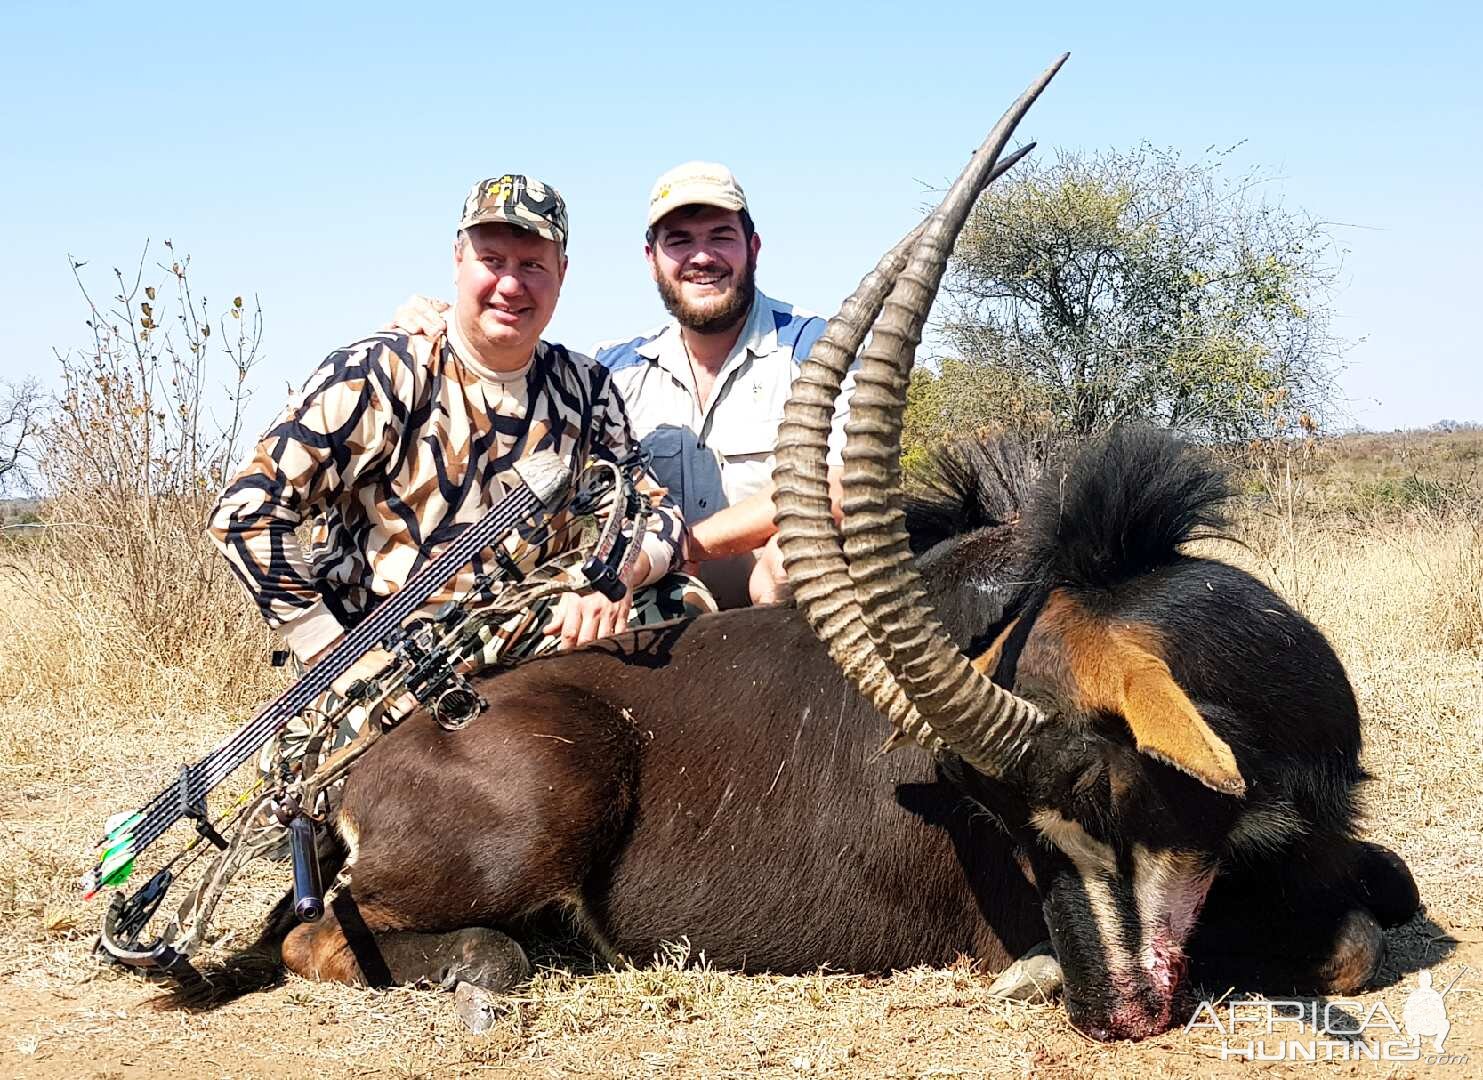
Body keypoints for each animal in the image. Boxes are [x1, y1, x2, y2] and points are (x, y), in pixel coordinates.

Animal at [272, 63, 1417, 1044]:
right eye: (1013, 828)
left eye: (1100, 793)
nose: (1109, 1012)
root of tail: (346, 777)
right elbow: (1347, 944)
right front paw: (1031, 972)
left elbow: (1386, 893)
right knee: (325, 938)